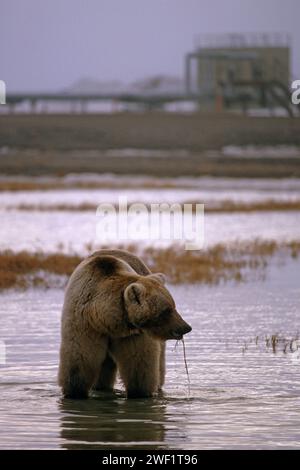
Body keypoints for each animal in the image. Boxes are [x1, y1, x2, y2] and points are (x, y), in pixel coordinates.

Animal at [57, 248, 191, 398]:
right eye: (166, 310)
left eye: (173, 305)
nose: (186, 327)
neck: (103, 319)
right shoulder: (83, 324)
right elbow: (79, 359)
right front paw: (75, 392)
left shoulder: (132, 333)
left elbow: (138, 364)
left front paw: (139, 392)